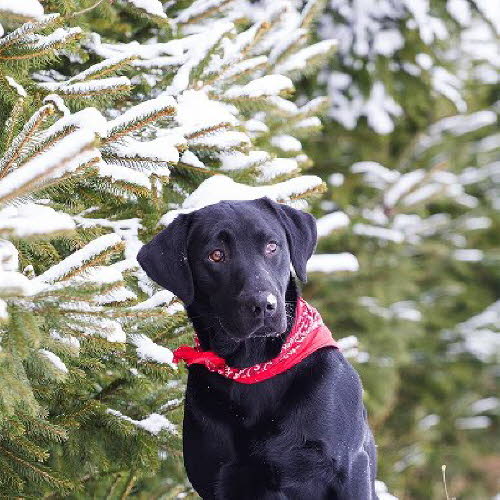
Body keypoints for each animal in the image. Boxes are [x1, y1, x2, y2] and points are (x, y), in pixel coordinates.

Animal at [137, 197, 376, 498]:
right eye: (216, 255)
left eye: (272, 246)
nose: (264, 304)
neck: (254, 366)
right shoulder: (220, 479)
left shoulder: (350, 467)